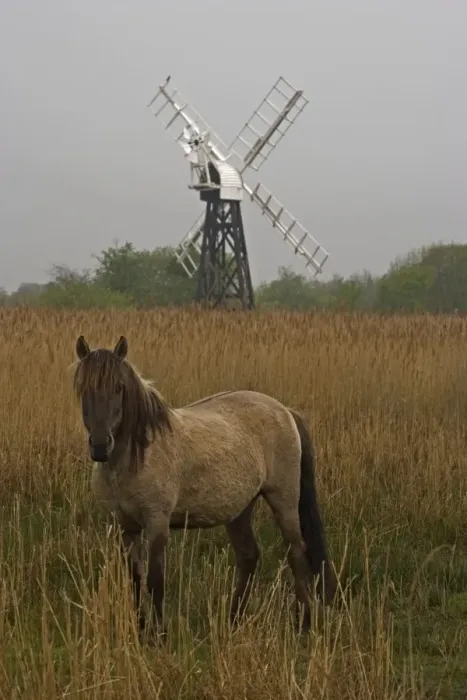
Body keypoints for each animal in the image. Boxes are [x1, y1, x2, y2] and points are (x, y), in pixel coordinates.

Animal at [73, 335, 336, 640]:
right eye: (82, 389)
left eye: (119, 387)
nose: (100, 446)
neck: (134, 456)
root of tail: (285, 411)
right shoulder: (126, 528)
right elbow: (136, 582)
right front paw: (141, 632)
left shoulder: (157, 524)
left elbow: (155, 581)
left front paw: (159, 637)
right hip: (239, 510)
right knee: (248, 556)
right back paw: (233, 620)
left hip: (284, 501)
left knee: (296, 554)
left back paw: (304, 625)